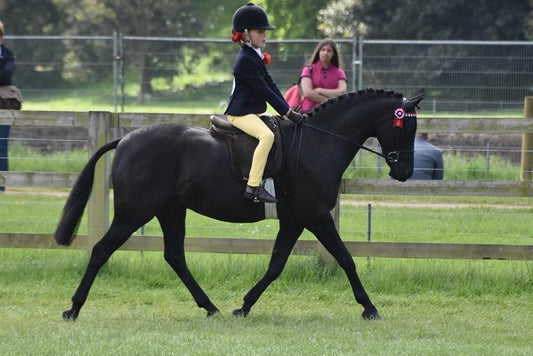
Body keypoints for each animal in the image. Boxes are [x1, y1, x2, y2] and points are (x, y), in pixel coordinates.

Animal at [54, 88, 420, 320]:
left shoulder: (294, 220)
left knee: (174, 256)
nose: (404, 172)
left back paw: (210, 307)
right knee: (101, 251)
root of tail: (126, 139)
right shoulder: (316, 216)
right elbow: (346, 259)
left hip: (171, 210)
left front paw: (243, 306)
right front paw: (370, 308)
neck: (320, 142)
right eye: (406, 129)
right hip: (134, 213)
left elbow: (276, 265)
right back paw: (73, 309)